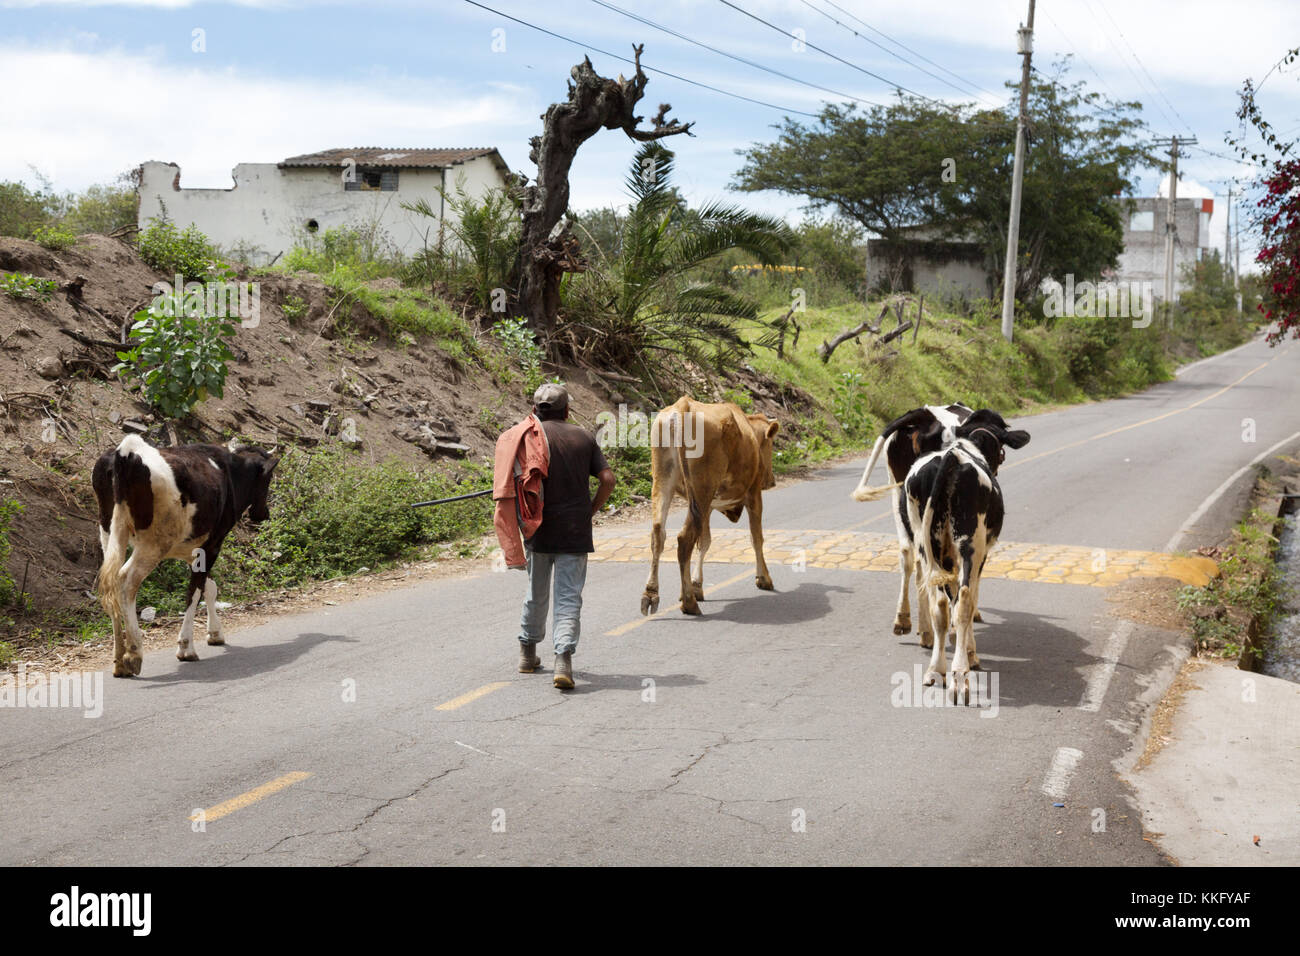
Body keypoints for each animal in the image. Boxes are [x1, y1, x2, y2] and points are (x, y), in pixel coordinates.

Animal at [93, 437, 276, 676]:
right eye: (269, 477)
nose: (263, 514)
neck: (230, 471)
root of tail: (127, 451)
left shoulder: (191, 549)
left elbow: (210, 587)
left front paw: (215, 633)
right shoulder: (213, 544)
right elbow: (195, 592)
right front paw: (186, 647)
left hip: (109, 531)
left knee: (111, 582)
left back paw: (119, 661)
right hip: (154, 544)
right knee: (125, 580)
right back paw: (134, 654)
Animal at [642, 398, 780, 616]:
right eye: (771, 445)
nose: (772, 481)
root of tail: (684, 404)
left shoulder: (707, 507)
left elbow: (705, 542)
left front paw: (696, 586)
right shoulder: (754, 494)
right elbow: (756, 538)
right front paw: (764, 578)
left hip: (665, 481)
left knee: (658, 534)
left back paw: (651, 594)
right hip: (702, 489)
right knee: (685, 538)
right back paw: (689, 602)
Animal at [847, 400, 972, 647]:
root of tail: (922, 413)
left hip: (899, 493)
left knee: (908, 554)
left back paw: (908, 622)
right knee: (927, 563)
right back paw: (934, 629)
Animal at [909, 408, 1029, 702]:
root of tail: (951, 458)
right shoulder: (980, 554)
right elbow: (971, 598)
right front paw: (972, 654)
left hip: (927, 544)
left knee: (939, 605)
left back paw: (936, 671)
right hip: (970, 544)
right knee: (964, 600)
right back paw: (960, 678)